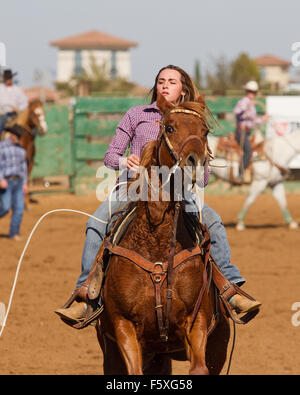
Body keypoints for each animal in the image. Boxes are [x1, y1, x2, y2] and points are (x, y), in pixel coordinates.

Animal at [96, 94, 230, 376]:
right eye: (169, 127)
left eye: (205, 131)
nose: (195, 162)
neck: (156, 243)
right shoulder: (123, 326)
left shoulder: (197, 321)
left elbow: (199, 368)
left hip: (215, 345)